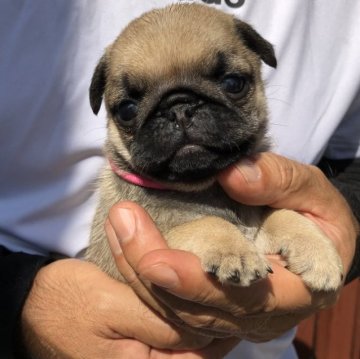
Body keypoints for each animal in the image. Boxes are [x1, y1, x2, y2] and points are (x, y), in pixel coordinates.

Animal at [86, 3, 344, 292]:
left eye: (233, 83)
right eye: (127, 110)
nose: (179, 107)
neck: (206, 187)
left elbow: (282, 213)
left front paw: (319, 252)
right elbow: (205, 223)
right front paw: (235, 250)